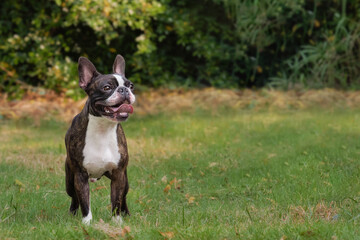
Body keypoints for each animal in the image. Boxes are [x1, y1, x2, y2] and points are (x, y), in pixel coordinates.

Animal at [64, 54, 136, 225]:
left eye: (131, 86)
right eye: (107, 88)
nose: (124, 90)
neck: (104, 128)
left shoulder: (118, 175)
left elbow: (116, 200)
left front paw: (117, 221)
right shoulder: (80, 175)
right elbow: (84, 201)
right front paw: (87, 222)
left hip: (126, 180)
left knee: (124, 197)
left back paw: (127, 214)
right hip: (69, 180)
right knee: (74, 198)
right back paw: (72, 214)